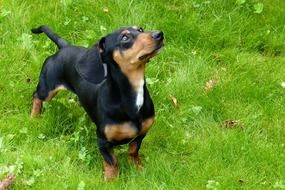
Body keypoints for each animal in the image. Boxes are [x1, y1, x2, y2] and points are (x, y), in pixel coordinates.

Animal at [30, 25, 163, 180]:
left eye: (140, 29)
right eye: (125, 37)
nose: (159, 34)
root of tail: (64, 46)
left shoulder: (141, 134)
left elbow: (133, 151)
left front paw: (138, 168)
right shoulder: (102, 141)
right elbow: (112, 162)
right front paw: (111, 180)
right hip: (47, 89)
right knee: (36, 96)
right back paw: (34, 116)